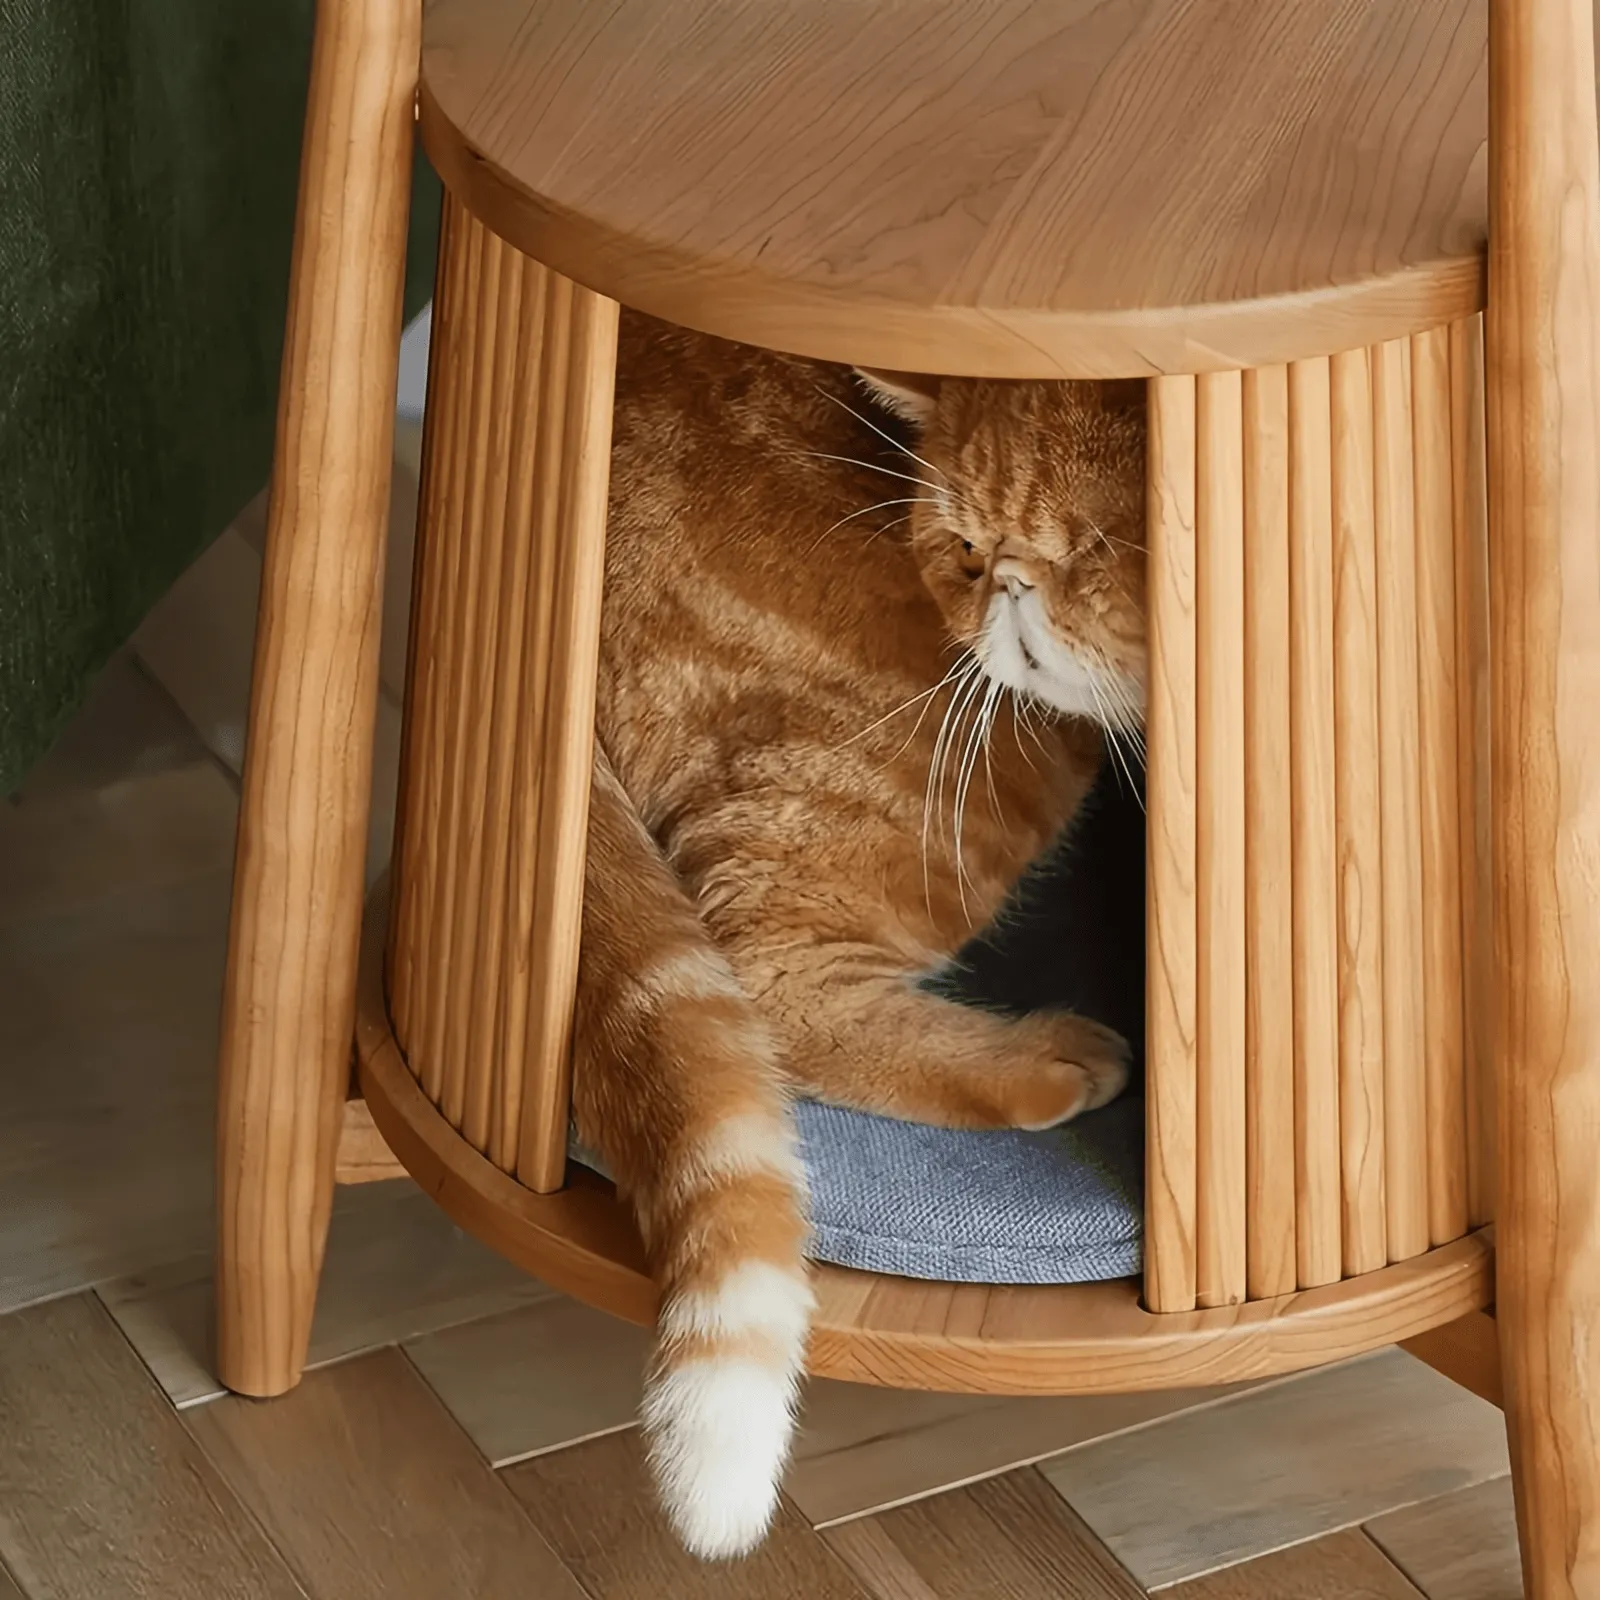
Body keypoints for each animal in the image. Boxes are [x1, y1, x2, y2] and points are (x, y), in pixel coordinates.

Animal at [569, 308, 1145, 1548]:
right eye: (966, 553)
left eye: (1092, 546)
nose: (1007, 589)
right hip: (972, 765)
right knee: (764, 974)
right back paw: (1043, 1056)